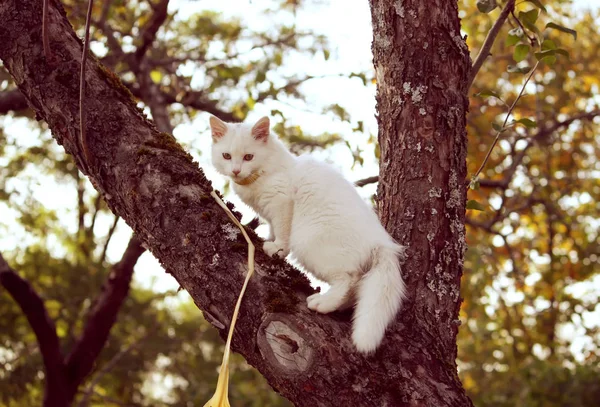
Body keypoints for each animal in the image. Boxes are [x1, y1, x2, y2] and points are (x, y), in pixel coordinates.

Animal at [209, 115, 406, 354]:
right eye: (226, 156)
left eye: (248, 157)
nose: (236, 170)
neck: (267, 171)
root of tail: (381, 242)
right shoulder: (269, 213)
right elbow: (272, 227)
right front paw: (270, 239)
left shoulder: (281, 202)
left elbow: (282, 230)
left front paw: (277, 248)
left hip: (309, 243)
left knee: (348, 279)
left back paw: (322, 303)